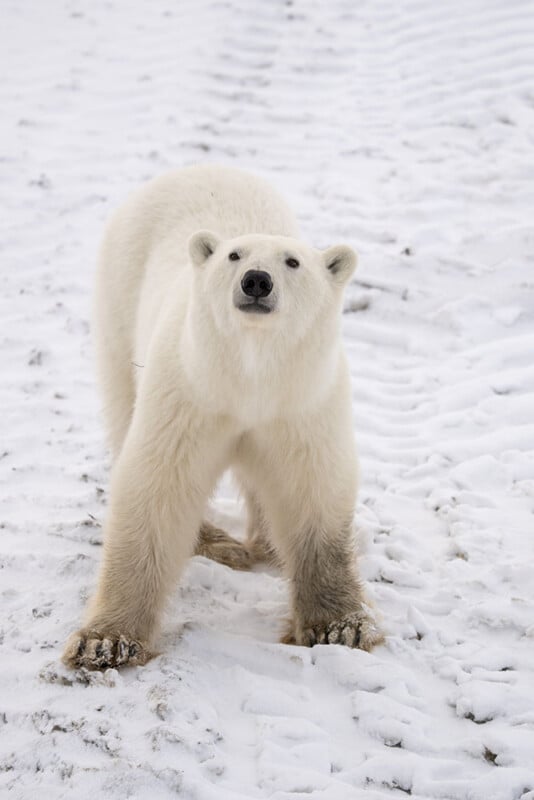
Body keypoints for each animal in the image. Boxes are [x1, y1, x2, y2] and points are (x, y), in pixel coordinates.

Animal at [63, 164, 384, 670]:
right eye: (234, 255)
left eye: (293, 262)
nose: (256, 280)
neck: (249, 375)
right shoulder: (190, 392)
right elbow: (157, 483)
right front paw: (106, 641)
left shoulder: (302, 401)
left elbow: (310, 486)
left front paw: (341, 625)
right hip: (119, 299)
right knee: (122, 405)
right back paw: (217, 541)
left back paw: (265, 543)